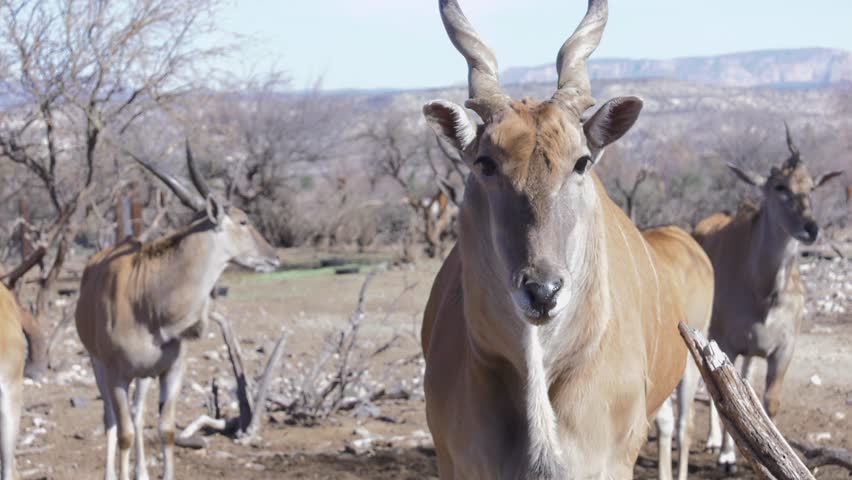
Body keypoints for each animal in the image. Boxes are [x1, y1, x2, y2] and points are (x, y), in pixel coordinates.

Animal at [74, 145, 278, 480]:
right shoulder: (116, 374)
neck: (147, 299)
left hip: (143, 376)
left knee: (137, 414)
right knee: (112, 420)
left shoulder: (171, 371)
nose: (274, 256)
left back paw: (141, 473)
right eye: (243, 221)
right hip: (98, 364)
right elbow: (124, 433)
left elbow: (166, 431)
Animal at [420, 1, 712, 478]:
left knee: (684, 424)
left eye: (581, 162)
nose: (543, 291)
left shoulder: (613, 461)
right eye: (485, 162)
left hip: (692, 362)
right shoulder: (452, 460)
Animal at [696, 124, 844, 472]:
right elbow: (727, 398)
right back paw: (713, 442)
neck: (764, 291)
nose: (811, 228)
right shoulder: (725, 344)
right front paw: (727, 456)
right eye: (780, 187)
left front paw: (772, 457)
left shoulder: (783, 349)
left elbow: (768, 402)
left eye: (811, 188)